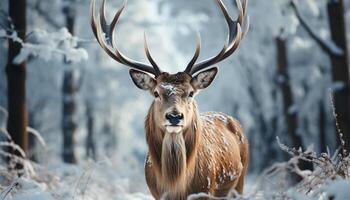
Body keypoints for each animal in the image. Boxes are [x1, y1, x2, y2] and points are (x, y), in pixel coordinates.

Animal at [90, 0, 249, 198]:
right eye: (156, 93)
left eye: (191, 93)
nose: (174, 116)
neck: (177, 186)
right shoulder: (157, 194)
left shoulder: (205, 190)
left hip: (240, 181)